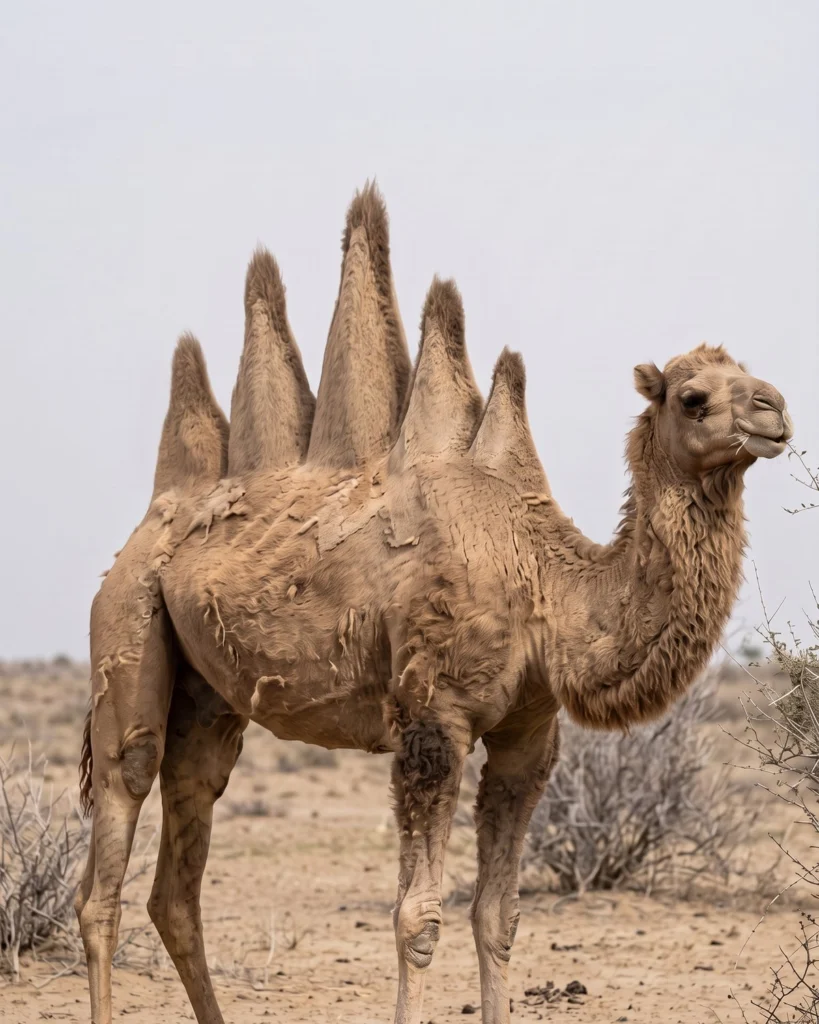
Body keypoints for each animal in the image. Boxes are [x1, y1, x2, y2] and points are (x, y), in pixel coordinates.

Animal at [75, 183, 793, 1024]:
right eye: (692, 396)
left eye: (748, 374)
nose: (774, 410)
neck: (543, 585)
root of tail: (153, 518)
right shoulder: (430, 723)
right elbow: (417, 919)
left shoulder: (527, 736)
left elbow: (498, 917)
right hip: (128, 622)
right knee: (112, 848)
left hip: (211, 698)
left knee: (178, 874)